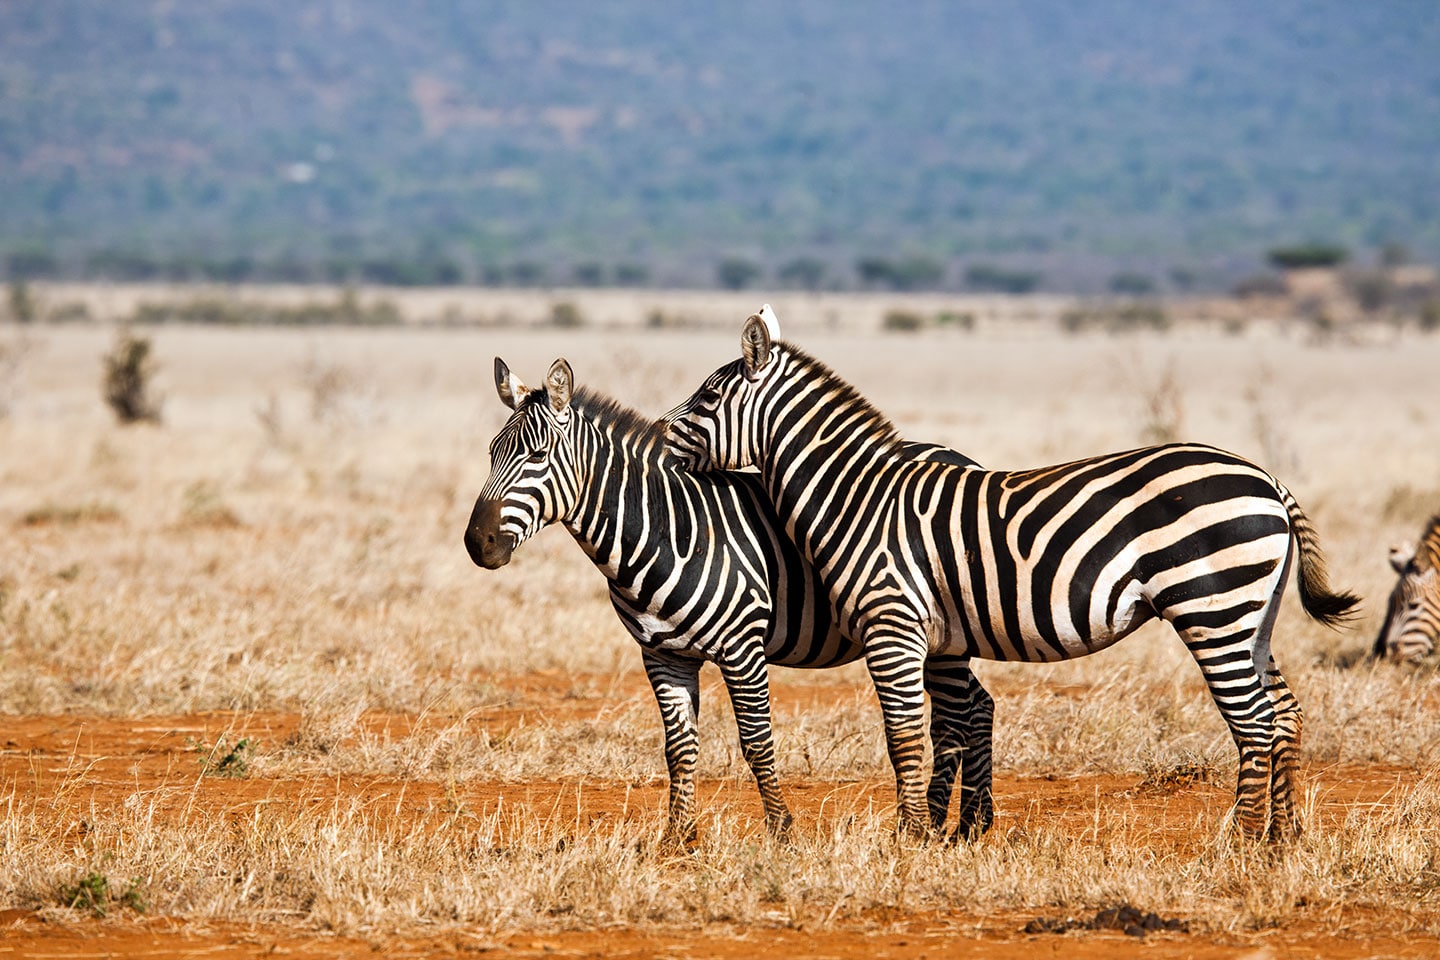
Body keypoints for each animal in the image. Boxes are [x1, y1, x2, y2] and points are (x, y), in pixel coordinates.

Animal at [463, 356, 982, 847]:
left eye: (538, 455)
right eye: (490, 453)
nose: (476, 543)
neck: (664, 530)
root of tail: (957, 455)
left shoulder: (742, 650)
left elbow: (756, 741)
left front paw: (781, 830)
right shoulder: (662, 655)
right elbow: (679, 747)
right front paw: (677, 836)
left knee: (956, 715)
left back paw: (945, 823)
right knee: (980, 703)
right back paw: (973, 823)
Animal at [662, 306, 1359, 842]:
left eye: (709, 398)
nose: (661, 442)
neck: (857, 498)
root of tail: (1265, 477)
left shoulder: (892, 623)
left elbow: (903, 736)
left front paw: (907, 837)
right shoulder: (926, 634)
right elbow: (936, 731)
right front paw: (932, 832)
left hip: (1212, 607)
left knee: (1255, 721)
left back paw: (1237, 842)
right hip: (1253, 614)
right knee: (1285, 713)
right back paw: (1282, 838)